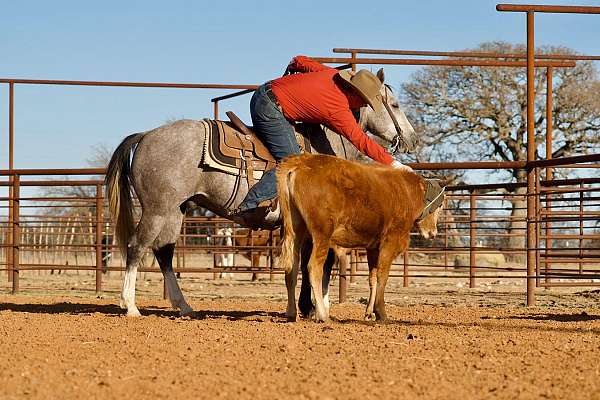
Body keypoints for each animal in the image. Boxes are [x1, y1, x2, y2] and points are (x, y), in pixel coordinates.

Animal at [106, 70, 418, 318]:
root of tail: (146, 135)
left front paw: (306, 307)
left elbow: (304, 264)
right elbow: (322, 263)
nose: (413, 139)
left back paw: (183, 307)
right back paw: (130, 306)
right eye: (394, 104)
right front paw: (319, 308)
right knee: (137, 247)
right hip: (157, 209)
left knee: (164, 252)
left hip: (175, 210)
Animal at [276, 153, 446, 322]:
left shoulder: (373, 247)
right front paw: (381, 312)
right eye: (440, 206)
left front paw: (369, 312)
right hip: (321, 234)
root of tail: (300, 162)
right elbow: (383, 276)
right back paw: (322, 314)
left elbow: (373, 278)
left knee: (292, 268)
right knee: (313, 268)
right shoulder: (390, 242)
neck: (407, 193)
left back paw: (291, 313)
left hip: (295, 229)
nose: (433, 232)